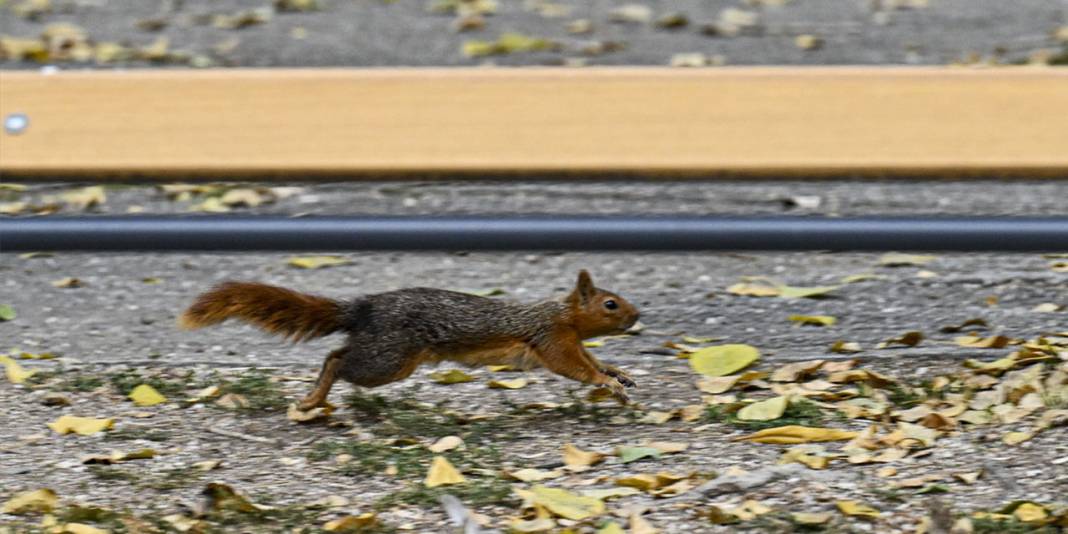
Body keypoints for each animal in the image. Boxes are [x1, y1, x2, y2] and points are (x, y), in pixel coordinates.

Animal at [178, 271, 636, 407]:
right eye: (610, 304)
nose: (638, 316)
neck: (563, 315)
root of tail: (363, 308)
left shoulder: (571, 342)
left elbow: (590, 361)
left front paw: (617, 374)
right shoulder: (551, 338)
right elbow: (572, 367)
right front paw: (606, 383)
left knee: (339, 354)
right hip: (387, 360)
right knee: (337, 359)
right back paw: (313, 399)